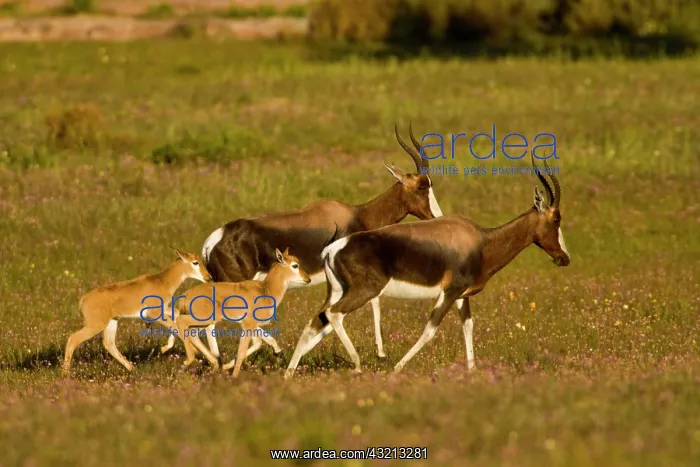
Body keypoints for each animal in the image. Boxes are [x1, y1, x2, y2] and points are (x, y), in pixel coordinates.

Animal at [62, 247, 212, 375]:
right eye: (195, 262)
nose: (208, 277)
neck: (161, 282)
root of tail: (83, 299)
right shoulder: (153, 314)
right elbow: (174, 325)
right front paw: (190, 356)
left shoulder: (163, 310)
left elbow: (176, 315)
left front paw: (165, 348)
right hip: (96, 325)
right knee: (72, 339)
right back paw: (66, 374)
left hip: (112, 322)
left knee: (108, 343)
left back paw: (132, 368)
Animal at [160, 123, 443, 363]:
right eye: (422, 186)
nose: (437, 217)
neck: (357, 214)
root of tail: (214, 240)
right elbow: (370, 302)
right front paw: (381, 352)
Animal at [174, 248, 311, 377]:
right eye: (295, 265)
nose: (308, 279)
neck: (267, 290)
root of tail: (185, 295)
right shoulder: (248, 325)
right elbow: (242, 351)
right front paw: (234, 376)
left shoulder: (250, 325)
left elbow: (262, 342)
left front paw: (277, 352)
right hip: (204, 320)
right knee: (181, 322)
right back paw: (190, 360)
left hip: (205, 323)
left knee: (192, 333)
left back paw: (215, 364)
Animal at [284, 154, 571, 379]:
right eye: (556, 219)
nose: (564, 258)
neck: (481, 240)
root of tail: (334, 248)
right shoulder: (449, 292)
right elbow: (430, 329)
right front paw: (397, 367)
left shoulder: (461, 296)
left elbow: (468, 326)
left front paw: (472, 371)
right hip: (363, 292)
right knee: (334, 315)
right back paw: (356, 364)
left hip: (338, 291)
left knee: (316, 322)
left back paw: (289, 373)